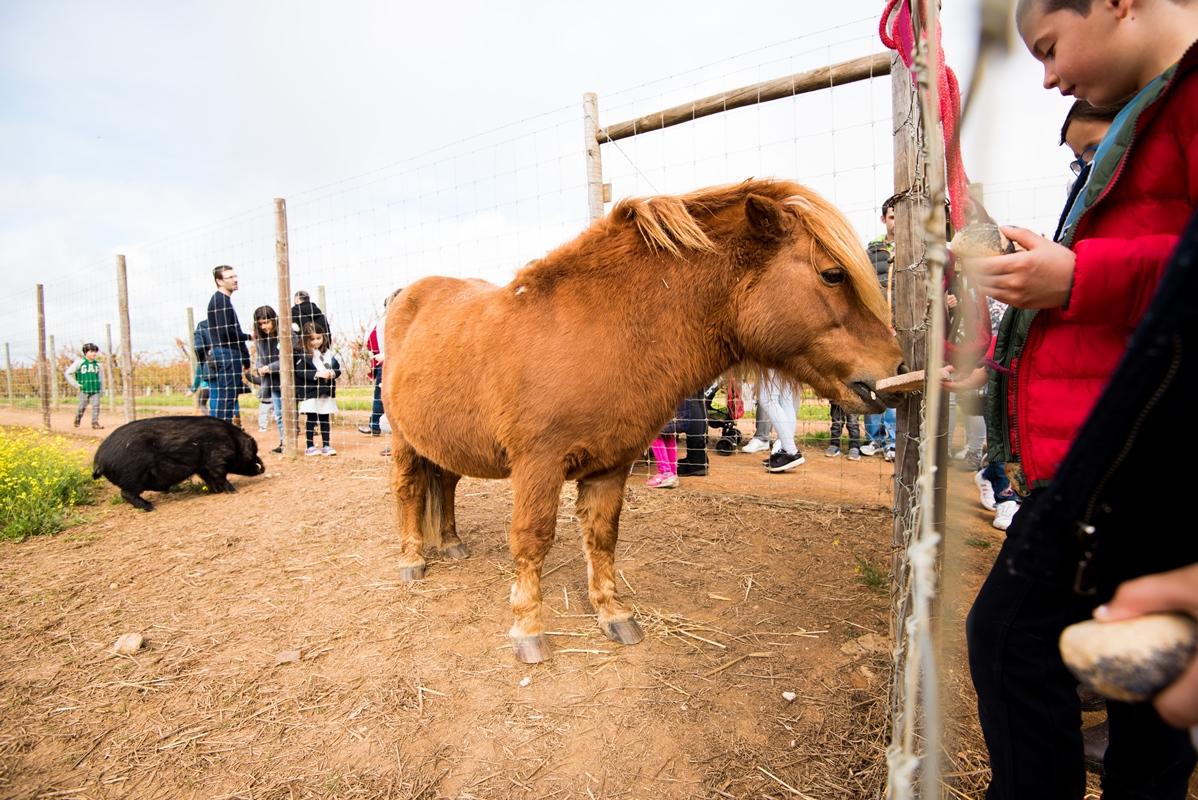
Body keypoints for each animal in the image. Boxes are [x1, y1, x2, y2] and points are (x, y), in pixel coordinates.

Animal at [92, 416, 265, 510]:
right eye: (253, 452)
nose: (262, 468)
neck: (233, 441)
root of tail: (99, 460)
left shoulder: (202, 467)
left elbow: (210, 478)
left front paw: (216, 491)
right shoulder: (217, 458)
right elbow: (220, 476)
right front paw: (234, 491)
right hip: (133, 475)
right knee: (126, 493)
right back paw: (150, 507)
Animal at [388, 179, 900, 661]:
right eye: (832, 274)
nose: (895, 368)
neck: (595, 331)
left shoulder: (608, 468)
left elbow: (602, 538)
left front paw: (612, 614)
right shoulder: (538, 466)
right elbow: (533, 540)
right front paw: (528, 629)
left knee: (445, 485)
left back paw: (450, 543)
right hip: (404, 442)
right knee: (409, 492)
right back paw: (413, 560)